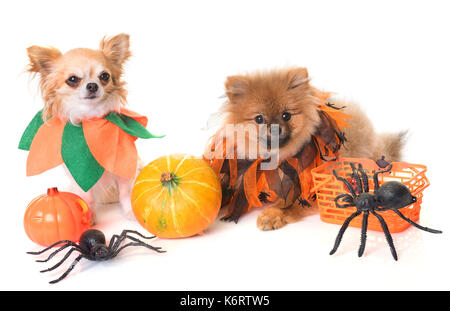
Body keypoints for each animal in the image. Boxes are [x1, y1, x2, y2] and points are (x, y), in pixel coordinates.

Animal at [25, 33, 137, 219]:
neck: (91, 121)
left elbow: (126, 192)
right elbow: (86, 196)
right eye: (72, 80)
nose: (92, 85)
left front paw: (131, 212)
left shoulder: (123, 163)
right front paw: (89, 216)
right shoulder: (79, 171)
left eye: (104, 76)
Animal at [209, 67, 406, 230]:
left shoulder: (313, 188)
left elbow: (291, 204)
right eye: (259, 119)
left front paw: (272, 215)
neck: (278, 157)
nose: (275, 128)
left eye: (286, 115)